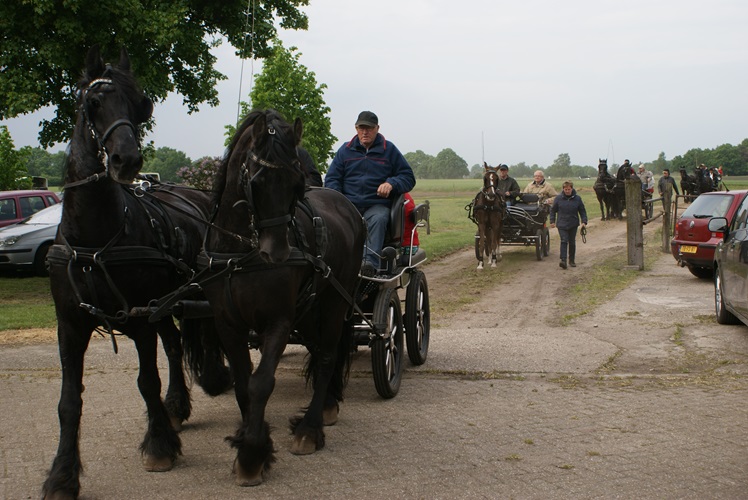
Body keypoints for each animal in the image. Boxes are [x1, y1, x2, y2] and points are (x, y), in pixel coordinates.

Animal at [40, 45, 226, 498]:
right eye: (92, 102)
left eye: (142, 106)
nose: (127, 160)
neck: (96, 238)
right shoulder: (70, 324)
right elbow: (68, 400)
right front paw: (62, 474)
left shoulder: (140, 318)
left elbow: (146, 382)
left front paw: (159, 446)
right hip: (166, 303)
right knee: (175, 345)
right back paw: (177, 406)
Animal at [197, 108, 364, 484]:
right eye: (256, 183)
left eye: (297, 184)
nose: (278, 253)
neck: (239, 254)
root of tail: (346, 205)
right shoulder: (227, 323)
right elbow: (243, 383)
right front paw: (248, 440)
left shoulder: (279, 320)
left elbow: (261, 383)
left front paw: (252, 455)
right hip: (311, 307)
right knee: (318, 351)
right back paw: (327, 404)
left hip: (336, 300)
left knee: (328, 355)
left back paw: (310, 428)